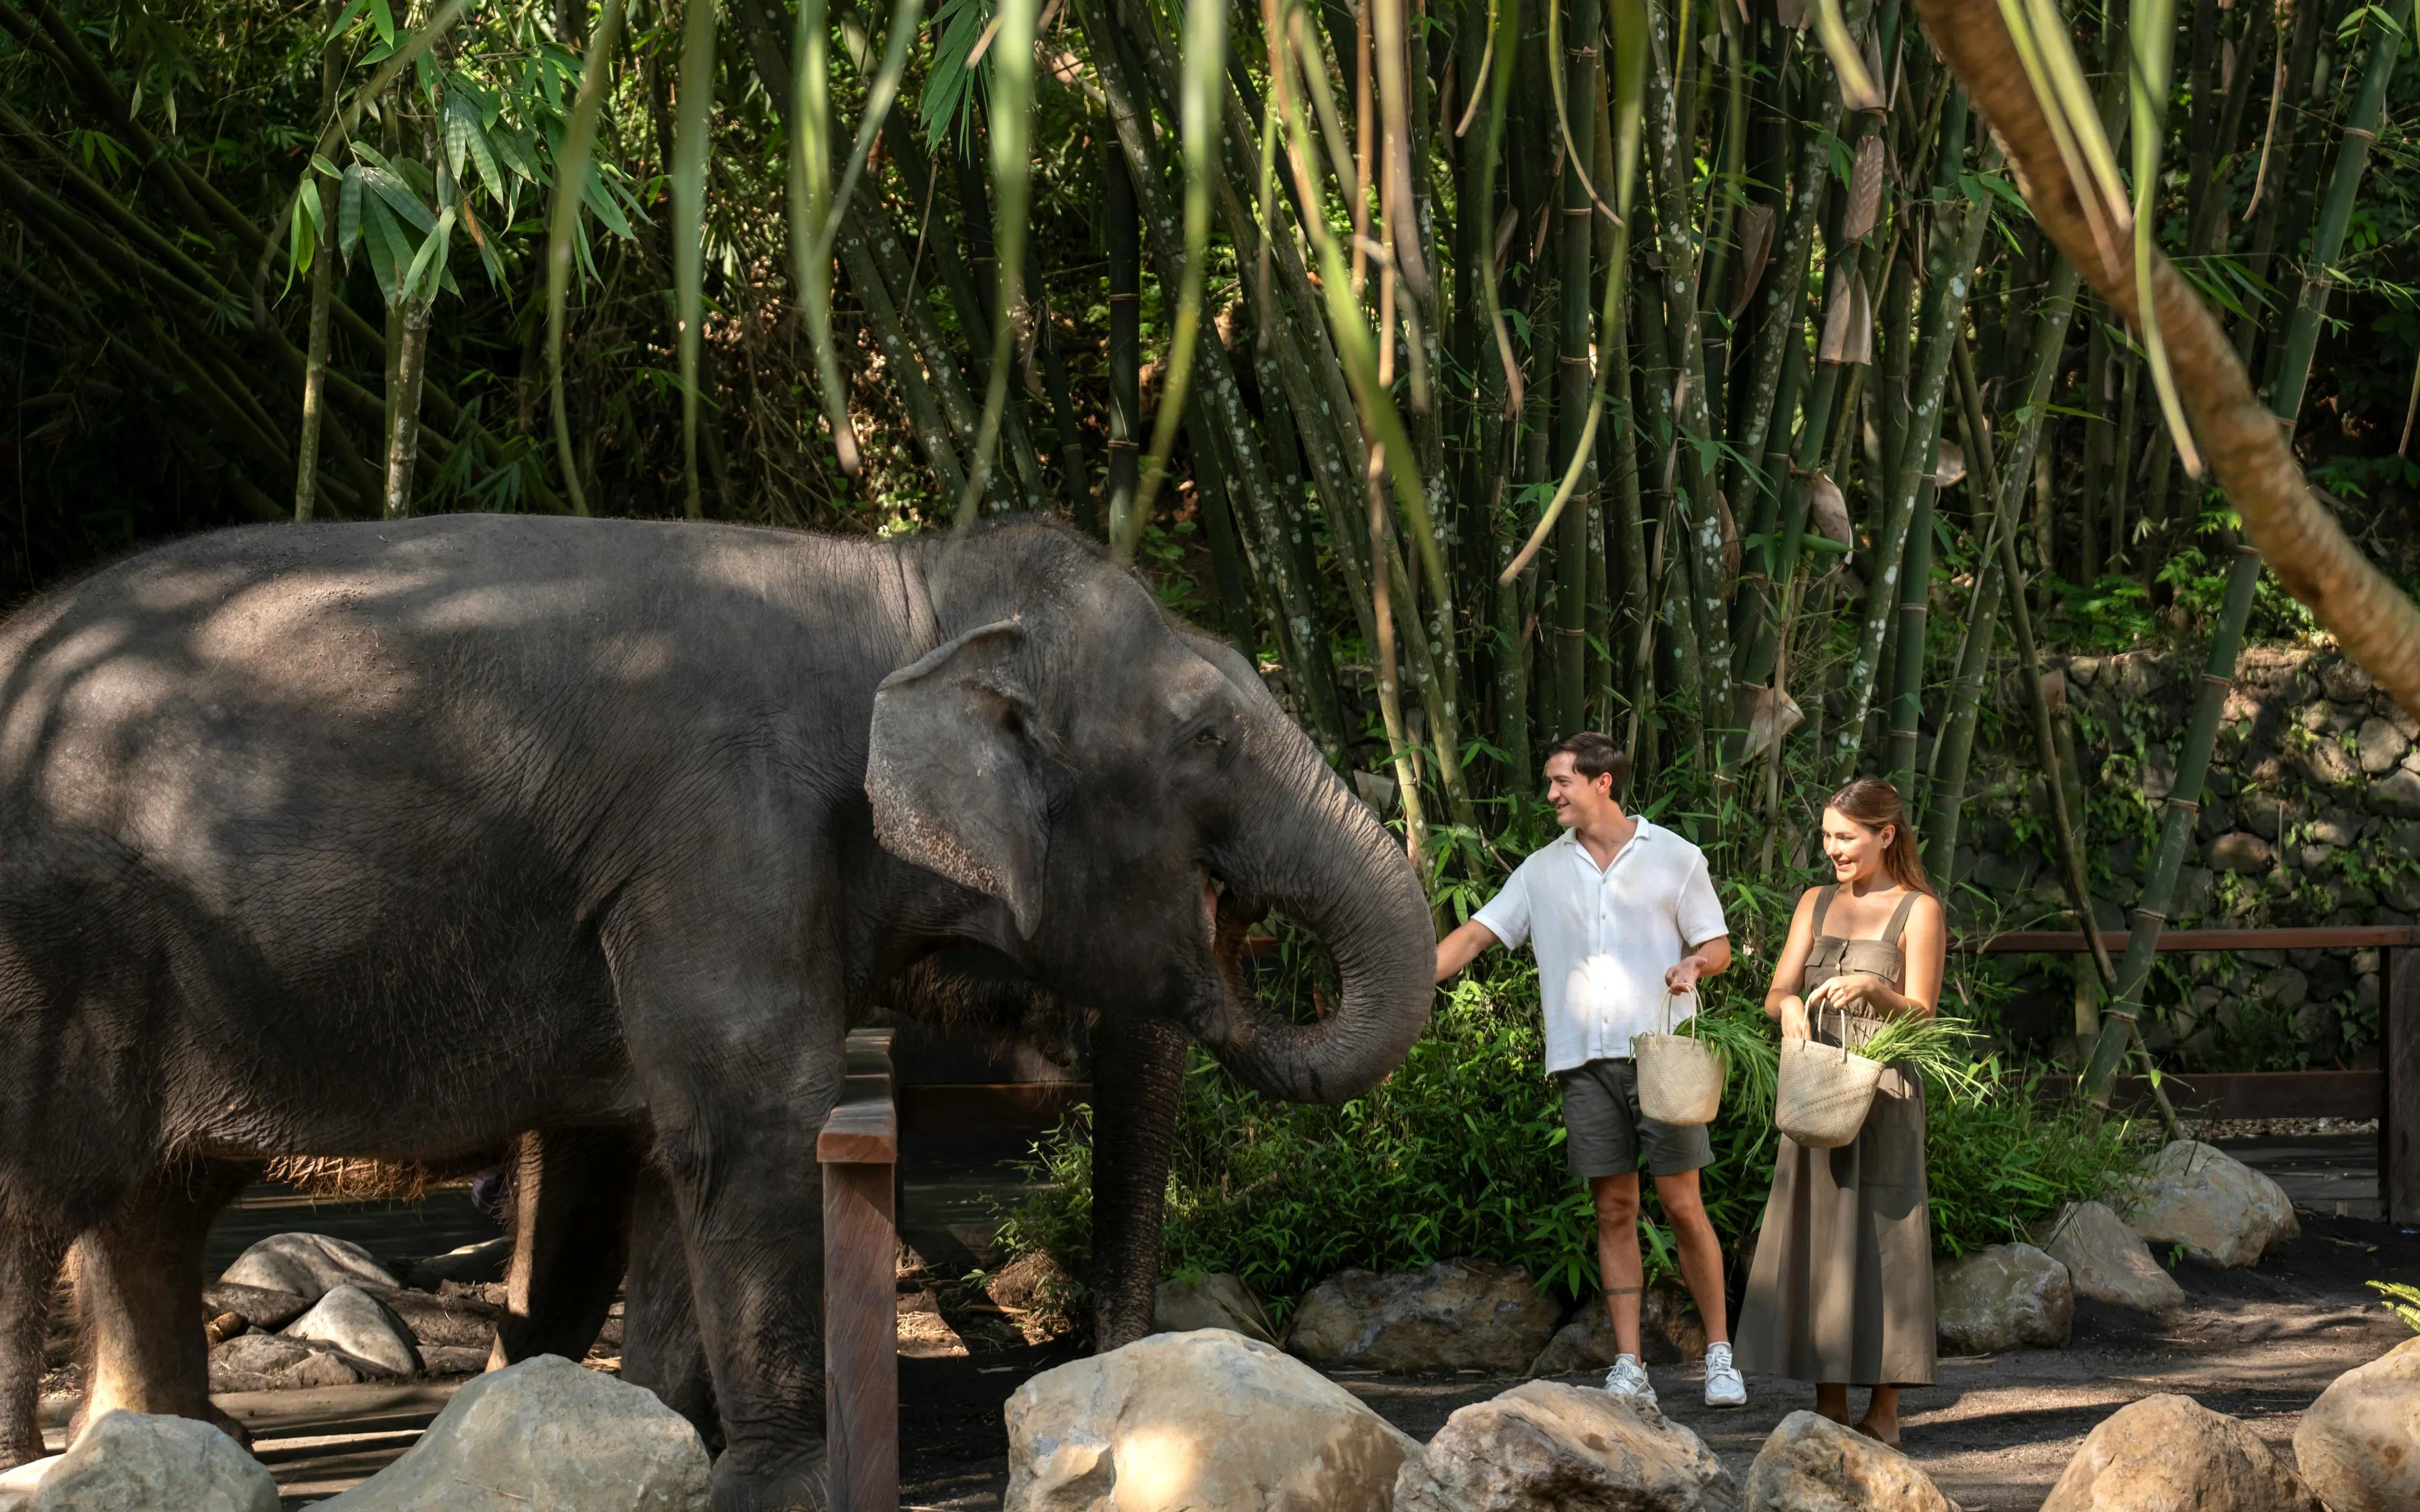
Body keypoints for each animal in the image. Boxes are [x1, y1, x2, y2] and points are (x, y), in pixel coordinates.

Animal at [0, 513, 1432, 1510]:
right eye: (1206, 740)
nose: (1092, 1398)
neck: (903, 594)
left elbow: (658, 1159)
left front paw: (656, 1444)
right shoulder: (723, 837)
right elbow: (751, 1125)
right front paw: (780, 1482)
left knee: (152, 1202)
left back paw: (166, 1446)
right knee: (38, 1200)